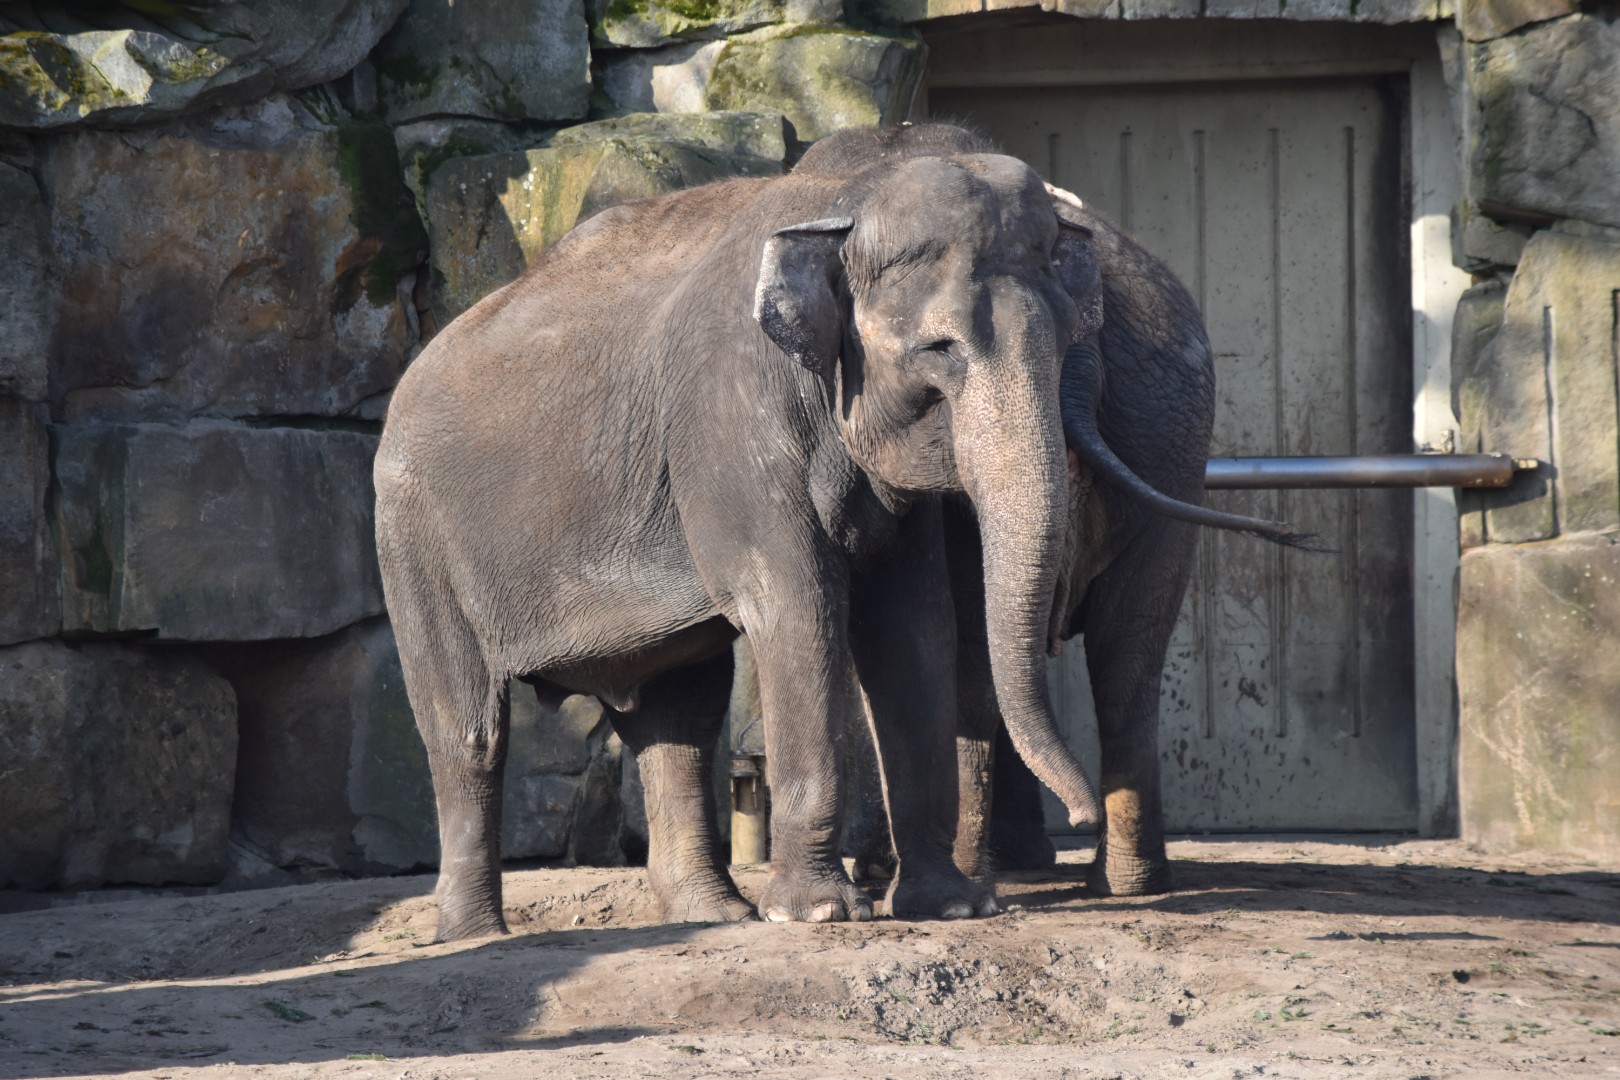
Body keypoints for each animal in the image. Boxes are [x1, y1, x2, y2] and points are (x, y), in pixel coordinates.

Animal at [374, 121, 1121, 940]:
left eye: (1067, 340)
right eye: (939, 349)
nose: (1083, 817)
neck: (846, 201)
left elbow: (912, 625)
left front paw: (951, 906)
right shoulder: (734, 424)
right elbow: (797, 609)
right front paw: (818, 914)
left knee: (677, 714)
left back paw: (712, 913)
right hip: (413, 532)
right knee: (468, 729)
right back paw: (476, 935)